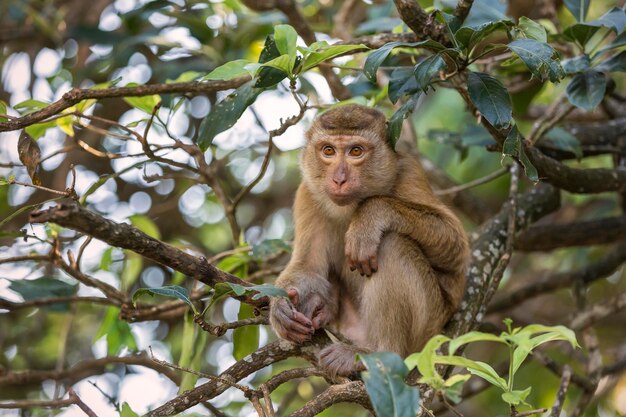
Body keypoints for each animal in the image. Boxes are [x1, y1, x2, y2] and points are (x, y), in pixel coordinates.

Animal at [268, 104, 468, 376]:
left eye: (356, 151)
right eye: (328, 151)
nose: (339, 179)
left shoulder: (409, 171)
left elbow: (455, 245)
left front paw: (369, 217)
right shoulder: (307, 193)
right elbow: (307, 267)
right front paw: (280, 307)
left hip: (428, 330)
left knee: (392, 245)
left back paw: (378, 353)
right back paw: (322, 307)